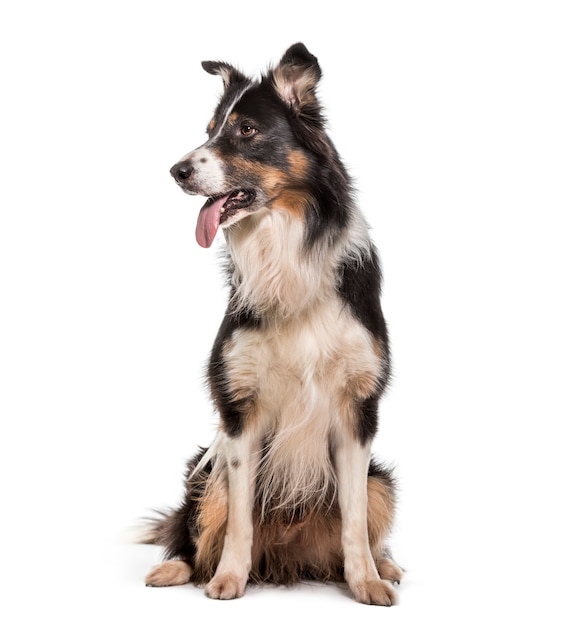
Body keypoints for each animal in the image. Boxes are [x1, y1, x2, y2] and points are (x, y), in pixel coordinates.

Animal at [142, 41, 402, 604]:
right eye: (210, 128)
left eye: (246, 130)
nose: (176, 170)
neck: (285, 247)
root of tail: (287, 559)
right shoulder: (239, 408)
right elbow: (239, 517)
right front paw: (228, 579)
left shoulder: (358, 408)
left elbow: (354, 520)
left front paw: (366, 581)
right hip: (204, 468)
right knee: (193, 530)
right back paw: (177, 569)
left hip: (382, 480)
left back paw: (384, 565)